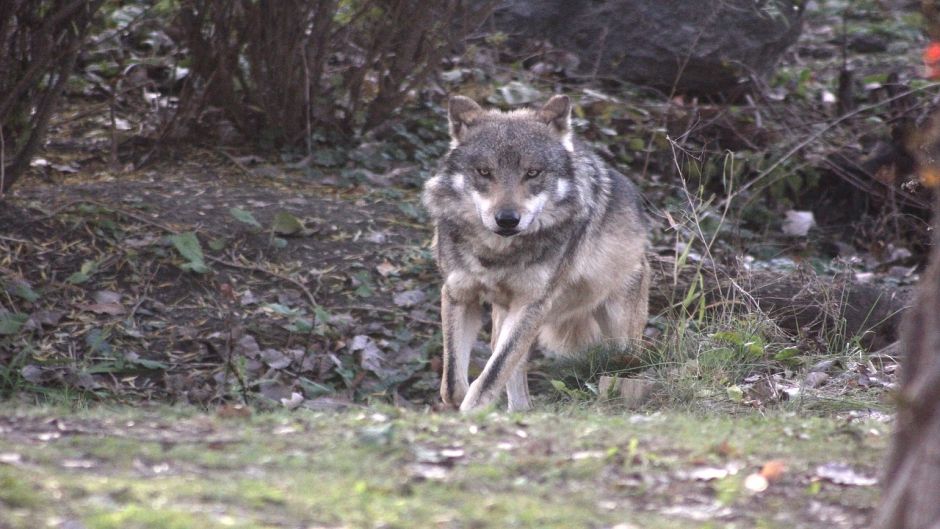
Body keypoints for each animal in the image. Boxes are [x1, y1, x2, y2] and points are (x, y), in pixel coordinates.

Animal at [422, 93, 648, 410]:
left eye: (532, 173)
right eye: (484, 172)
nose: (507, 219)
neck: (497, 254)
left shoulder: (532, 304)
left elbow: (492, 374)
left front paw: (472, 410)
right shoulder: (458, 294)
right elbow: (453, 382)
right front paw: (461, 407)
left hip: (620, 338)